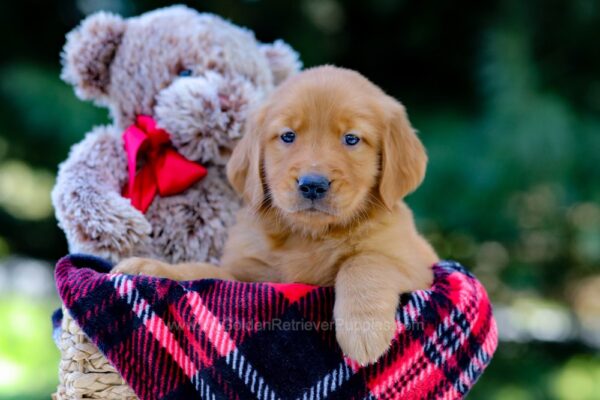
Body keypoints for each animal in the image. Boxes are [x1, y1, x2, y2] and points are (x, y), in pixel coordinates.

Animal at [115, 66, 438, 366]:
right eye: (287, 136)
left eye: (351, 139)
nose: (312, 184)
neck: (309, 235)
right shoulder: (244, 276)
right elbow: (198, 271)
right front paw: (150, 268)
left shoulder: (418, 267)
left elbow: (365, 261)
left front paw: (364, 329)